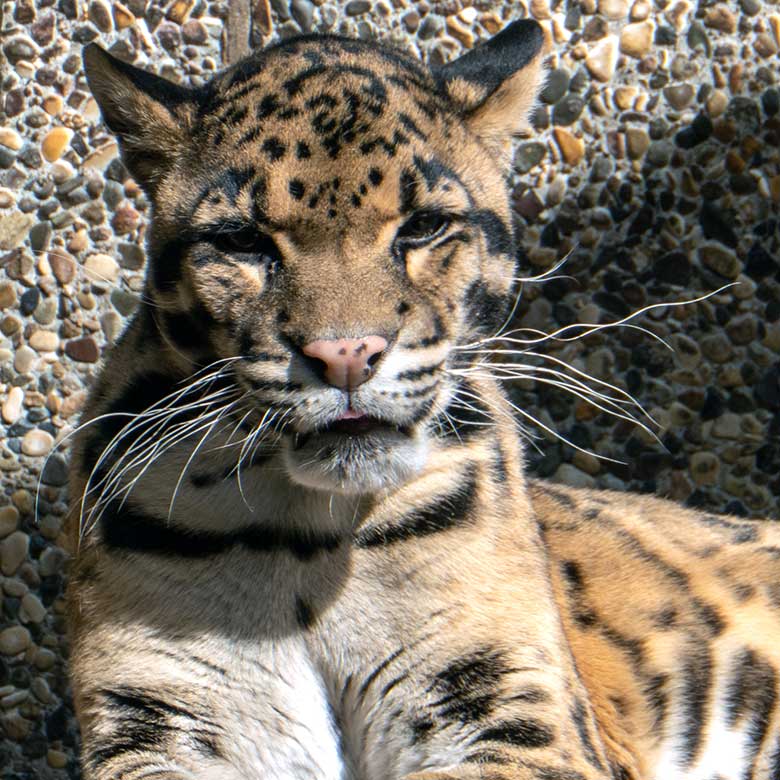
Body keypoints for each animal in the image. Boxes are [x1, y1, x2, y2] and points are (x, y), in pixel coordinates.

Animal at [68, 18, 780, 780]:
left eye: (423, 227)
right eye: (241, 241)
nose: (346, 356)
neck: (308, 534)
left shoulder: (510, 705)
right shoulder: (157, 714)